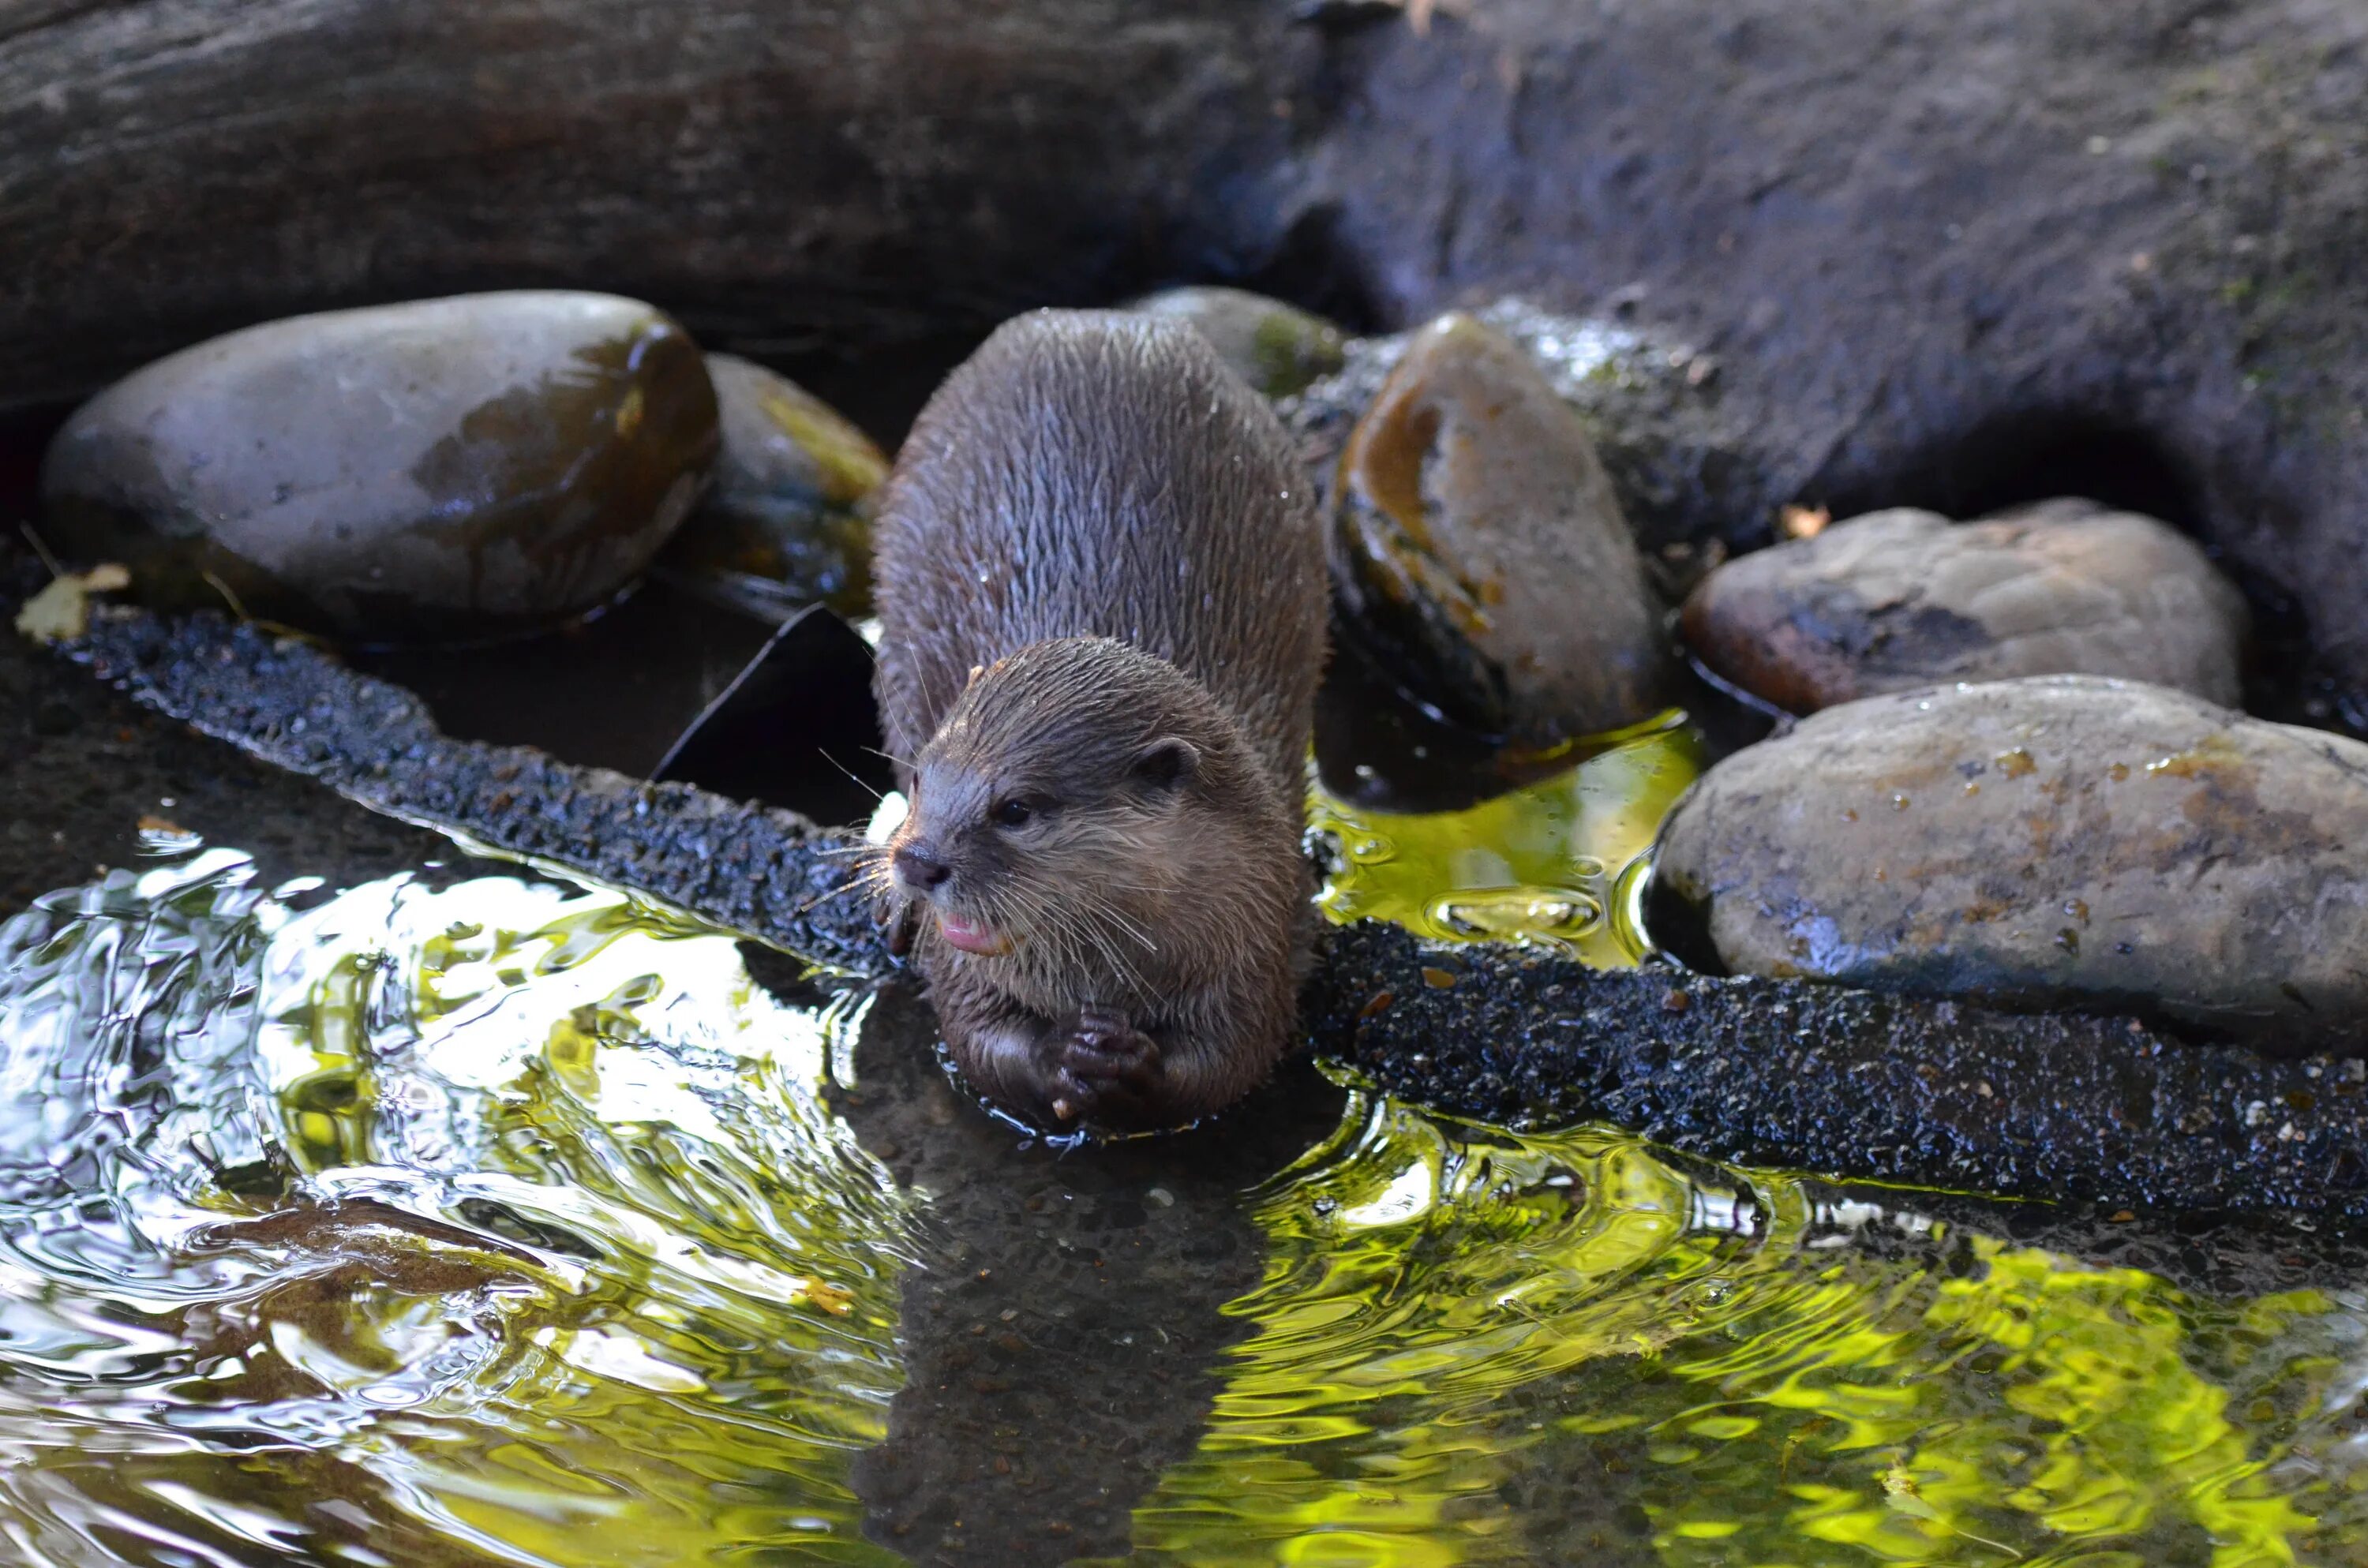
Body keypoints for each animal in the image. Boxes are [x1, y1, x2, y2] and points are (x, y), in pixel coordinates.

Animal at [867, 312, 1326, 1136]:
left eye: (1016, 808)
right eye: (924, 778)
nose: (919, 861)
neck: (1105, 979)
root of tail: (1100, 320)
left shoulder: (1264, 927)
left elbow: (1240, 1053)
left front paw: (1138, 1065)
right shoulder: (964, 966)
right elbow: (972, 1036)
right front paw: (1063, 1056)